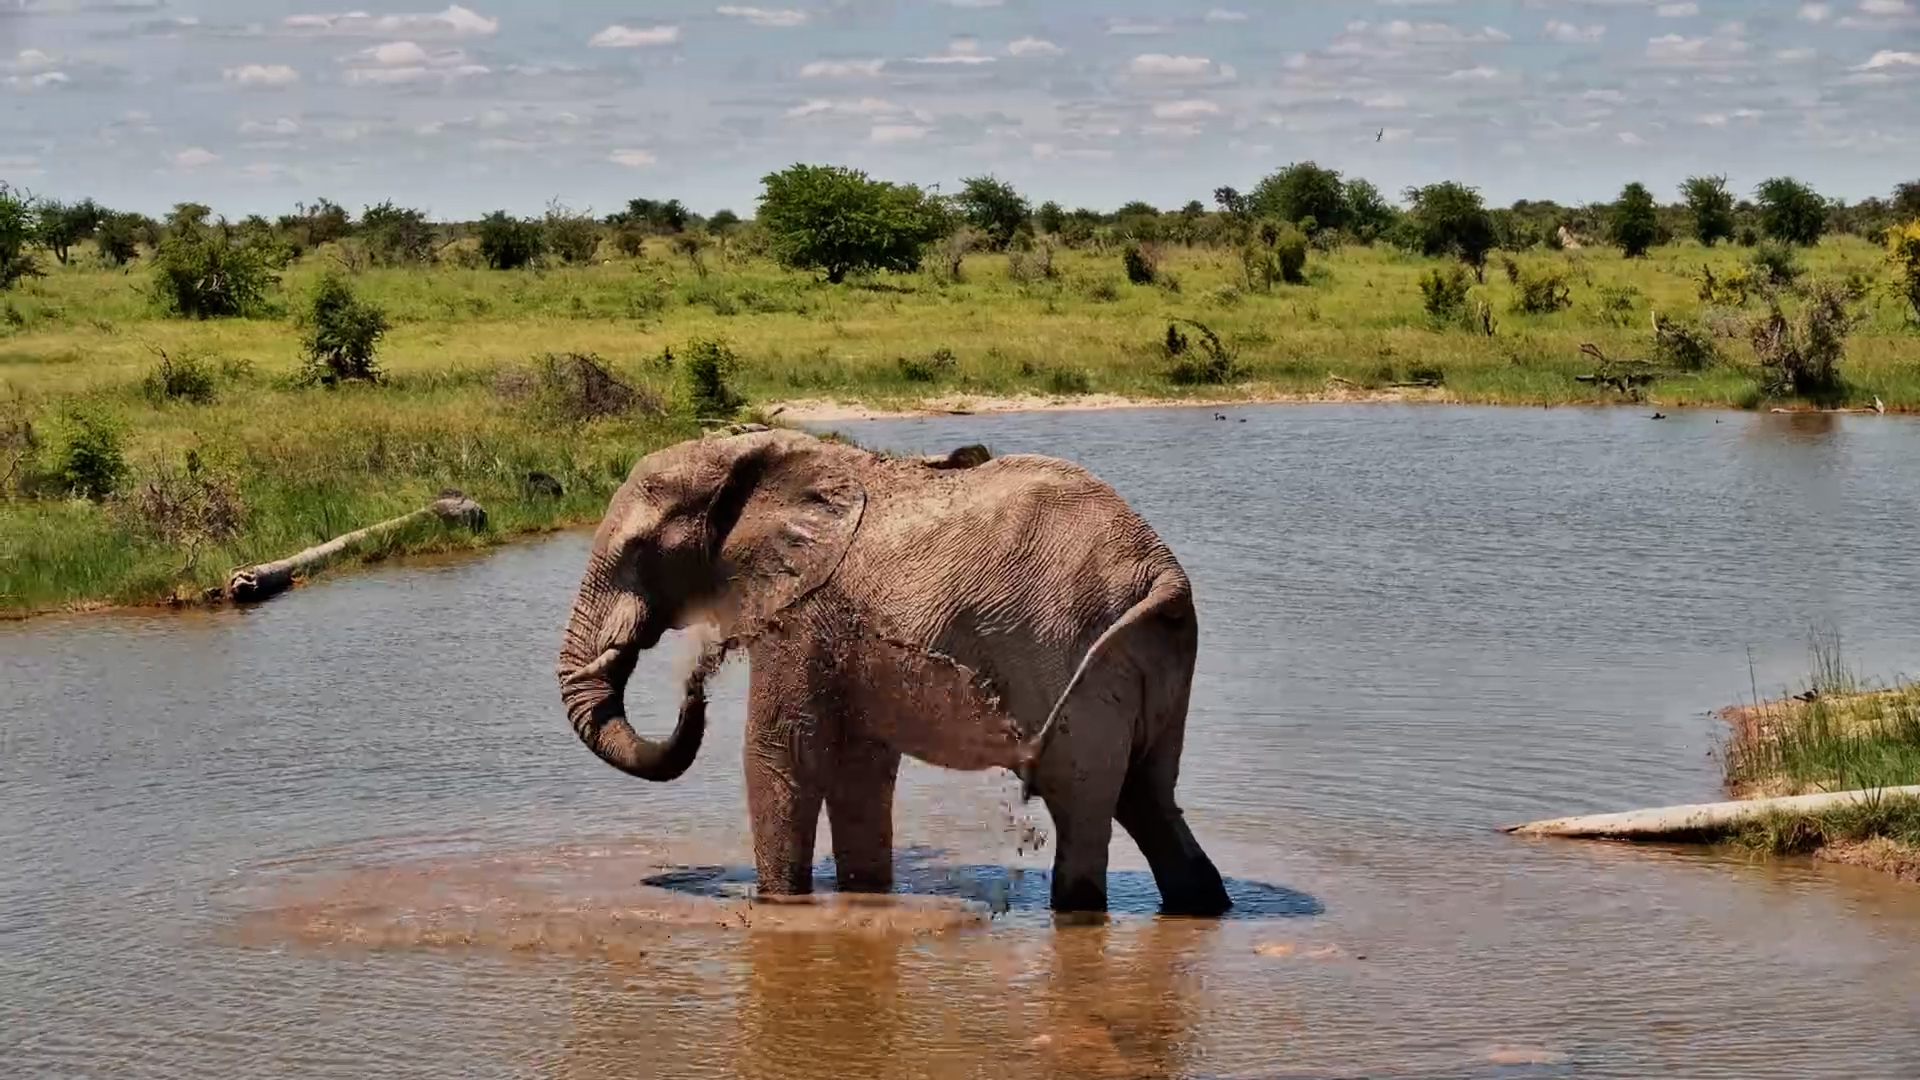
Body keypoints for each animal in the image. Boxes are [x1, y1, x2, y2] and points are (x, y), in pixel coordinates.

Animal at [555, 427, 1231, 916]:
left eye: (639, 552)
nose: (698, 679)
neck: (752, 453)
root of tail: (1162, 569)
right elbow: (859, 771)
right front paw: (864, 896)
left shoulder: (803, 611)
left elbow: (779, 753)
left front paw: (777, 908)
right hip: (1154, 658)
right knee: (1146, 798)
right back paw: (1205, 906)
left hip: (1078, 653)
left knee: (1081, 805)